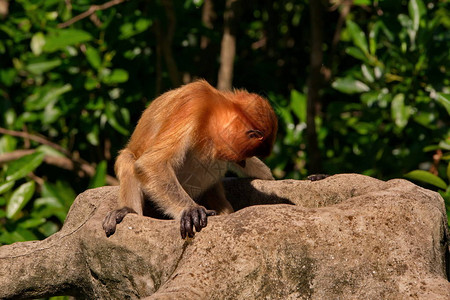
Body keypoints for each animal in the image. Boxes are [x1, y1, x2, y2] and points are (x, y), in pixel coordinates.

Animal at [103, 79, 278, 239]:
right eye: (244, 155)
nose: (242, 162)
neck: (213, 107)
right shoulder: (192, 104)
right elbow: (151, 163)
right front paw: (191, 210)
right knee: (127, 158)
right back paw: (127, 210)